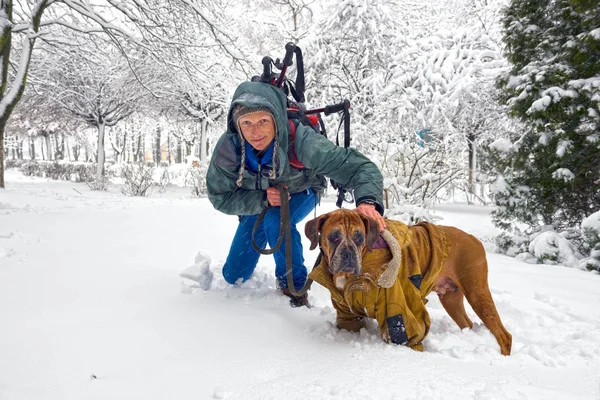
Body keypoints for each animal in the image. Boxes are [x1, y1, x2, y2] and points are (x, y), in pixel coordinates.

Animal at [304, 208, 510, 354]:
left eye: (359, 237)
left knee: (504, 335)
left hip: (477, 293)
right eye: (334, 236)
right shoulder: (349, 316)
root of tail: (474, 239)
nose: (348, 254)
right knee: (468, 324)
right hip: (451, 300)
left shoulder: (398, 317)